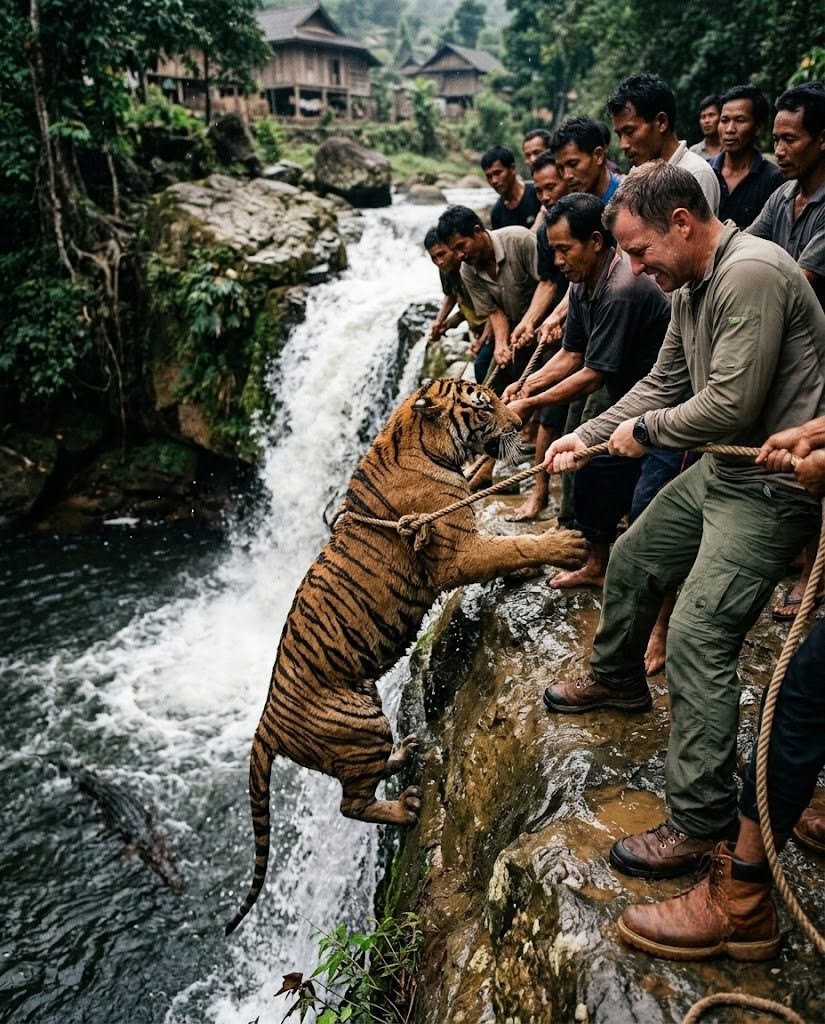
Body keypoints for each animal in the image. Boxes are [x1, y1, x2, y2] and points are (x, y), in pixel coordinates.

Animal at [224, 377, 587, 935]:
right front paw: (562, 545)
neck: (419, 441)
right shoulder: (459, 551)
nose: (521, 423)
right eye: (484, 406)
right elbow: (511, 546)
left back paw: (405, 752)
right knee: (351, 804)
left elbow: (503, 544)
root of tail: (265, 723)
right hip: (359, 723)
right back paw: (406, 805)